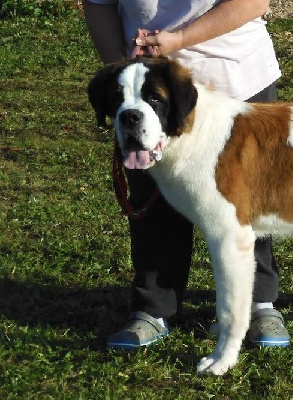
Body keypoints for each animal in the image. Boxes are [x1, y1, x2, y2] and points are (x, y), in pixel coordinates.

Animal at [87, 57, 292, 376]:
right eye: (117, 98)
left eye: (155, 98)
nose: (130, 117)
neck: (192, 132)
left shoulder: (230, 239)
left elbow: (230, 308)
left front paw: (222, 360)